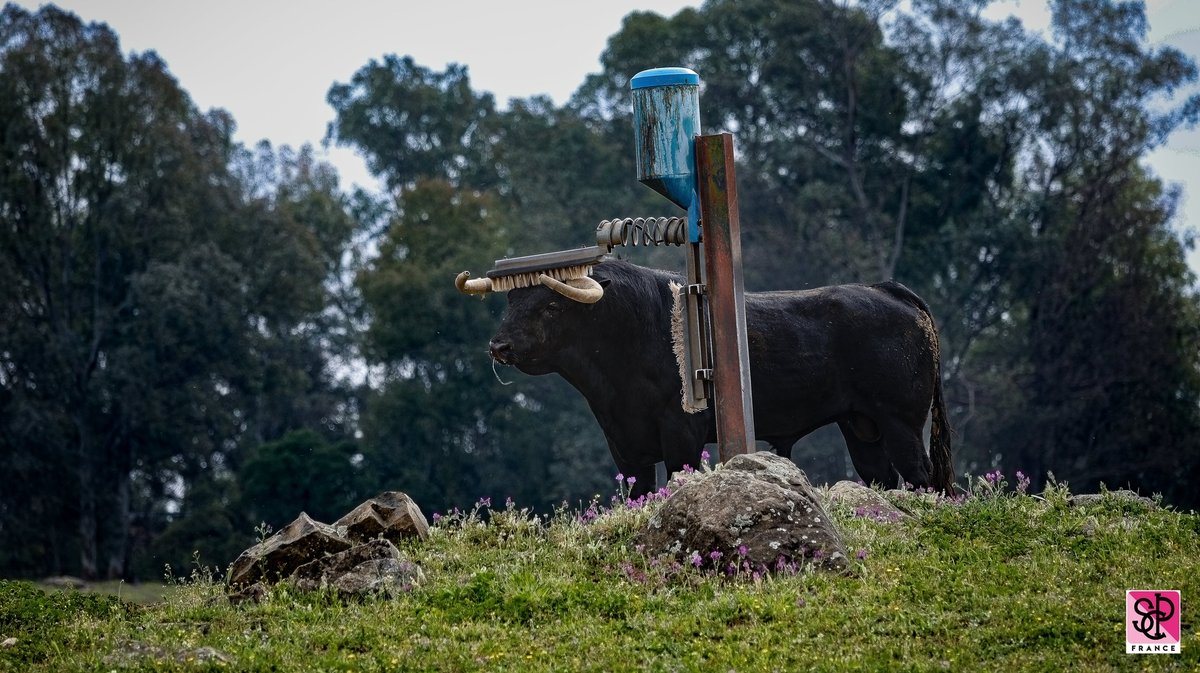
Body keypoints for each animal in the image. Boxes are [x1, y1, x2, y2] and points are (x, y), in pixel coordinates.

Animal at [472, 257, 950, 499]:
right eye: (511, 303)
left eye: (551, 306)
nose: (498, 346)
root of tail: (885, 289)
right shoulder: (624, 441)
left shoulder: (682, 431)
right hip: (861, 426)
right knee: (882, 476)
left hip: (901, 422)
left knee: (920, 474)